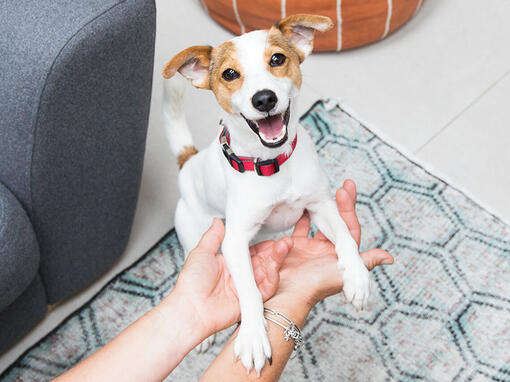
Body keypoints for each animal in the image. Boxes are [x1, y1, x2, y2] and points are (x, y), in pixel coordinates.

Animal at [161, 14, 368, 374]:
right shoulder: (233, 241)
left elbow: (344, 235)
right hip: (195, 236)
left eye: (277, 59)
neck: (271, 164)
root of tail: (188, 163)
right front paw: (254, 335)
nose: (264, 99)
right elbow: (249, 291)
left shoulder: (321, 206)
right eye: (229, 74)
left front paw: (356, 277)